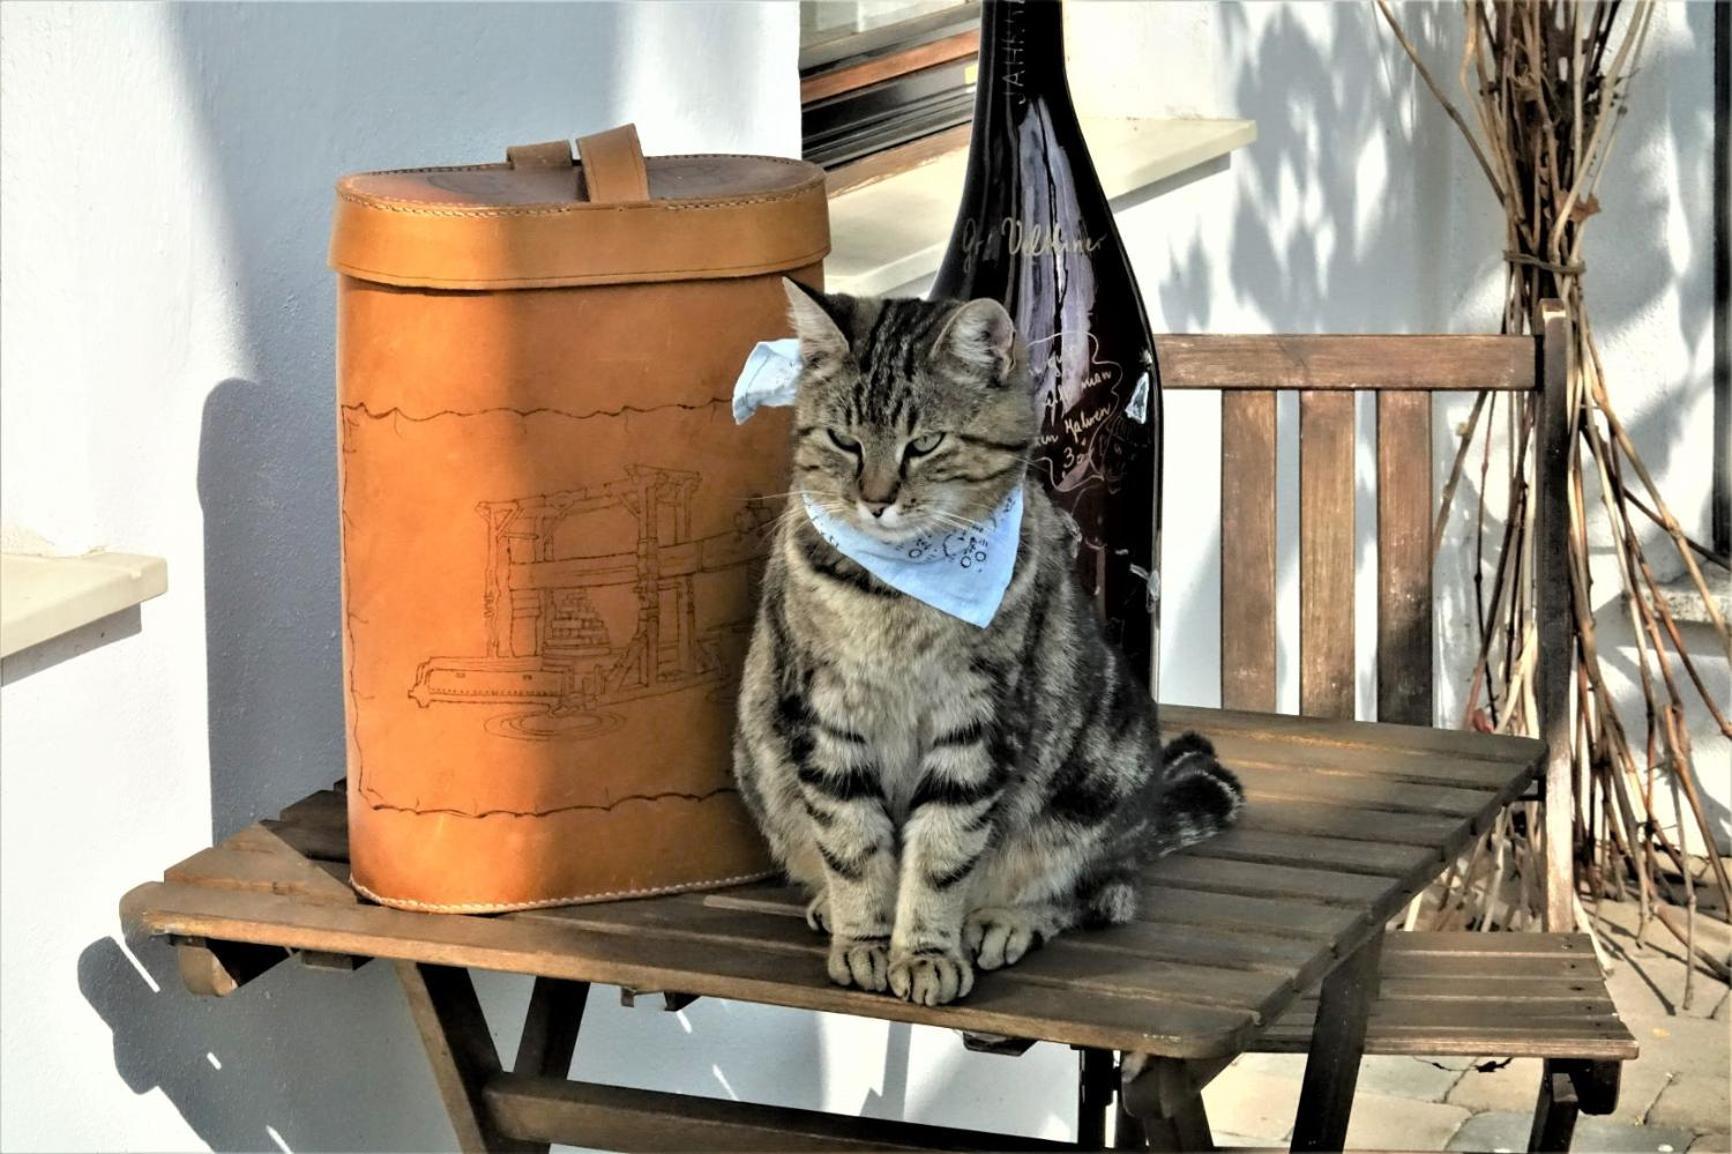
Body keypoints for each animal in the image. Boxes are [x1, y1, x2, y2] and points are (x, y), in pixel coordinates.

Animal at [730, 278, 1247, 998]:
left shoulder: (977, 718)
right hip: (757, 757)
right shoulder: (823, 710)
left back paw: (1007, 920)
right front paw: (863, 937)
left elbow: (942, 849)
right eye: (842, 439)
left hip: (1100, 775)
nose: (875, 501)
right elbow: (854, 841)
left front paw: (923, 951)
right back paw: (827, 903)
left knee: (1100, 892)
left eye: (924, 443)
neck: (897, 594)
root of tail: (1145, 821)